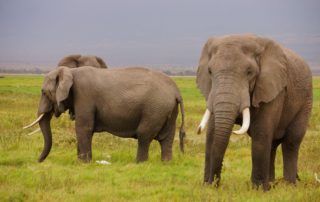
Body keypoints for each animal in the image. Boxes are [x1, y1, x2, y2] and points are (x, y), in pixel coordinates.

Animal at [24, 66, 185, 164]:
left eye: (44, 92)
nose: (37, 161)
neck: (71, 71)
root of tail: (177, 91)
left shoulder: (85, 96)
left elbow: (83, 128)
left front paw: (84, 163)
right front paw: (80, 162)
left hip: (154, 109)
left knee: (144, 135)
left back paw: (139, 164)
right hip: (168, 110)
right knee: (167, 138)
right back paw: (166, 163)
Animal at [195, 34, 312, 191]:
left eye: (249, 72)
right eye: (210, 71)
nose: (214, 183)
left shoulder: (272, 88)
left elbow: (261, 134)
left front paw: (257, 190)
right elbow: (212, 134)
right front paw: (208, 187)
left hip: (305, 101)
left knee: (291, 143)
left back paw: (288, 186)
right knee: (272, 145)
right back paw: (271, 185)